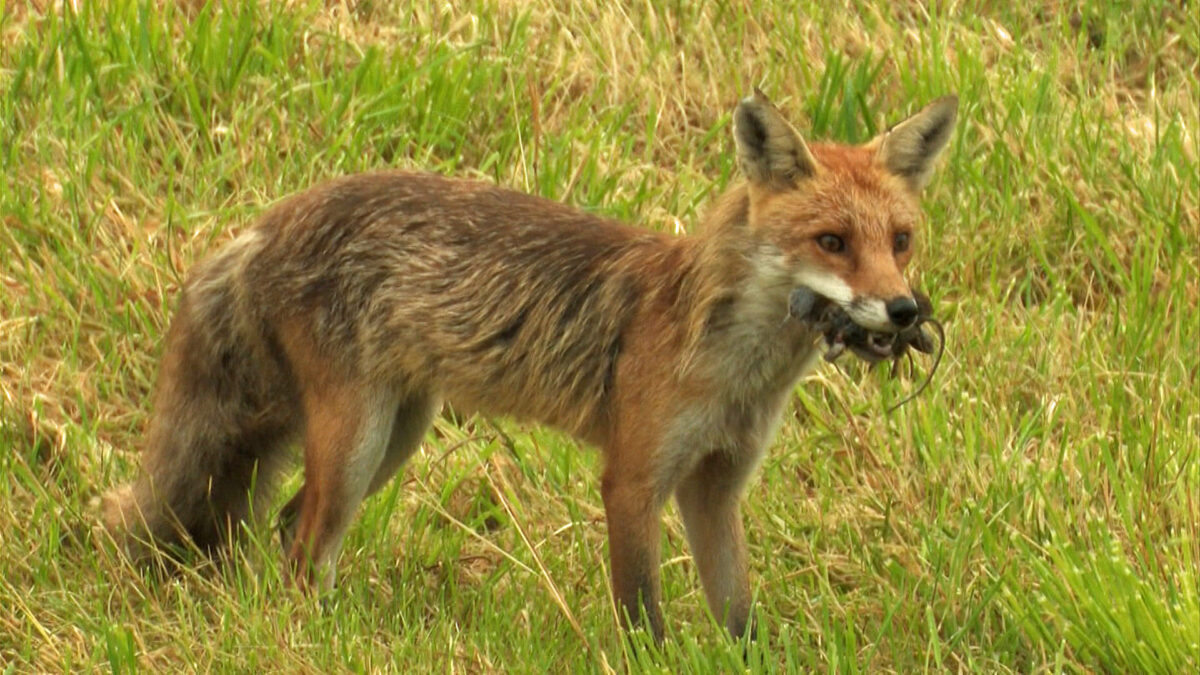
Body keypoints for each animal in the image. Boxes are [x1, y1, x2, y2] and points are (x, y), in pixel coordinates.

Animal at [98, 90, 955, 638]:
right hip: (357, 441)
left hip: (394, 435)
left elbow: (738, 618)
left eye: (900, 240)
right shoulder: (633, 476)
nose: (903, 311)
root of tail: (263, 224)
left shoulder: (715, 483)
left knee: (287, 529)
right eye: (832, 242)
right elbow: (643, 617)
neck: (731, 368)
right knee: (305, 546)